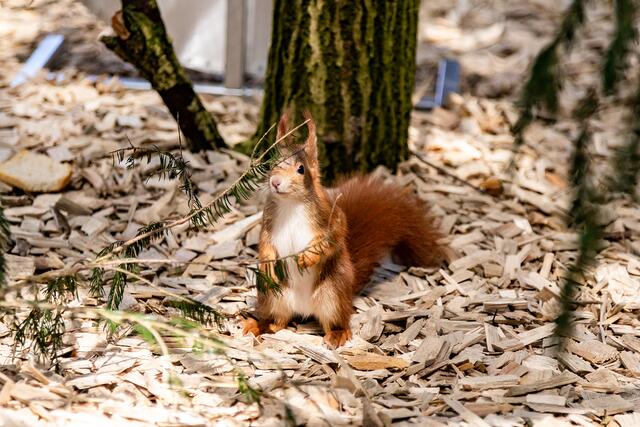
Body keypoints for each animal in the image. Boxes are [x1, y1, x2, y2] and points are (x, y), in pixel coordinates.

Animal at [242, 112, 446, 348]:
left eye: (301, 169)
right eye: (271, 165)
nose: (275, 182)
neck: (291, 204)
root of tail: (303, 309)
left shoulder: (332, 218)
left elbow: (332, 239)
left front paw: (307, 257)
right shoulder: (267, 222)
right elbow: (265, 243)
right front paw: (267, 263)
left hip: (332, 293)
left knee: (338, 320)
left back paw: (337, 334)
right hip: (273, 295)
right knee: (278, 320)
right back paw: (260, 325)